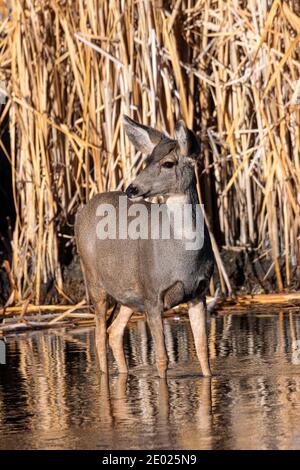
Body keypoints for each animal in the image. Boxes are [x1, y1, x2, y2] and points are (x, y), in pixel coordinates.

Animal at [75, 116, 216, 378]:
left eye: (168, 163)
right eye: (147, 160)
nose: (132, 188)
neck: (183, 256)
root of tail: (83, 209)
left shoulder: (198, 293)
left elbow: (203, 353)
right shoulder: (152, 294)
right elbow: (162, 358)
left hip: (128, 293)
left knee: (114, 332)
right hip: (94, 282)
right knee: (99, 337)